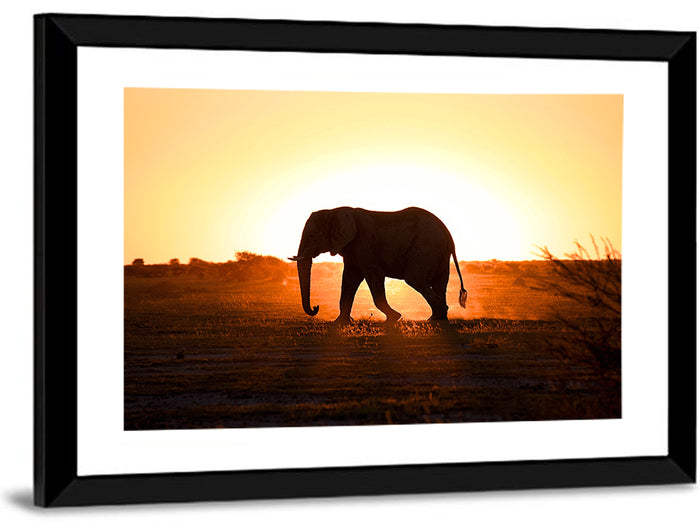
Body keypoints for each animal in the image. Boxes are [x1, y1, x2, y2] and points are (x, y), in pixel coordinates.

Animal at [288, 206, 467, 323]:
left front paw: (394, 318)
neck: (334, 211)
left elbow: (374, 275)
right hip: (438, 253)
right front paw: (340, 322)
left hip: (426, 248)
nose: (316, 307)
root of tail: (449, 235)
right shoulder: (352, 248)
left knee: (415, 280)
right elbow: (349, 279)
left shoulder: (364, 243)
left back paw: (436, 316)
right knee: (439, 284)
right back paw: (438, 319)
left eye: (313, 235)